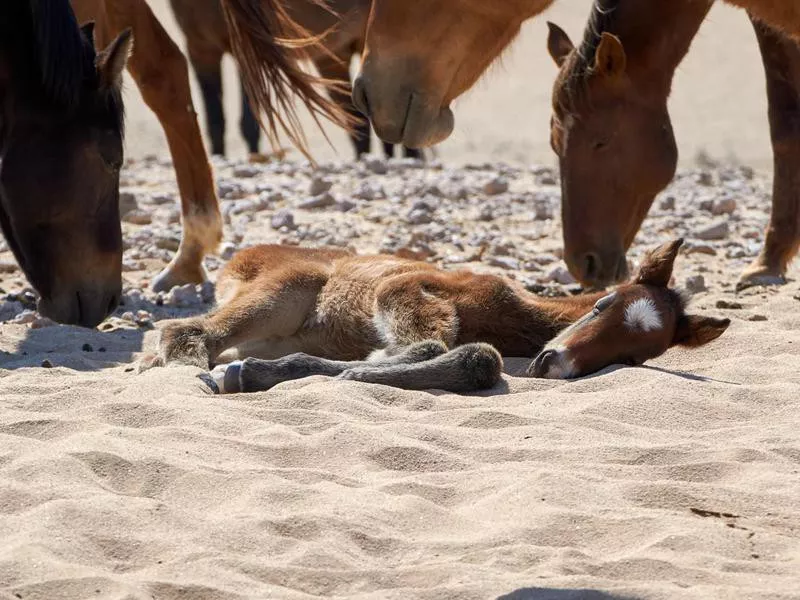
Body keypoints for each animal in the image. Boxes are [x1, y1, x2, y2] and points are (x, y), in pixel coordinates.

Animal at [150, 239, 732, 394]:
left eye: (634, 358)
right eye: (602, 303)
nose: (553, 363)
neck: (515, 313)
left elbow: (475, 357)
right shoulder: (402, 287)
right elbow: (436, 346)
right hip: (286, 289)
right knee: (185, 329)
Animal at [168, 0, 418, 159]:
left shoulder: (245, 49)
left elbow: (249, 123)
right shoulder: (200, 49)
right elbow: (215, 121)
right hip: (336, 61)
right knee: (364, 123)